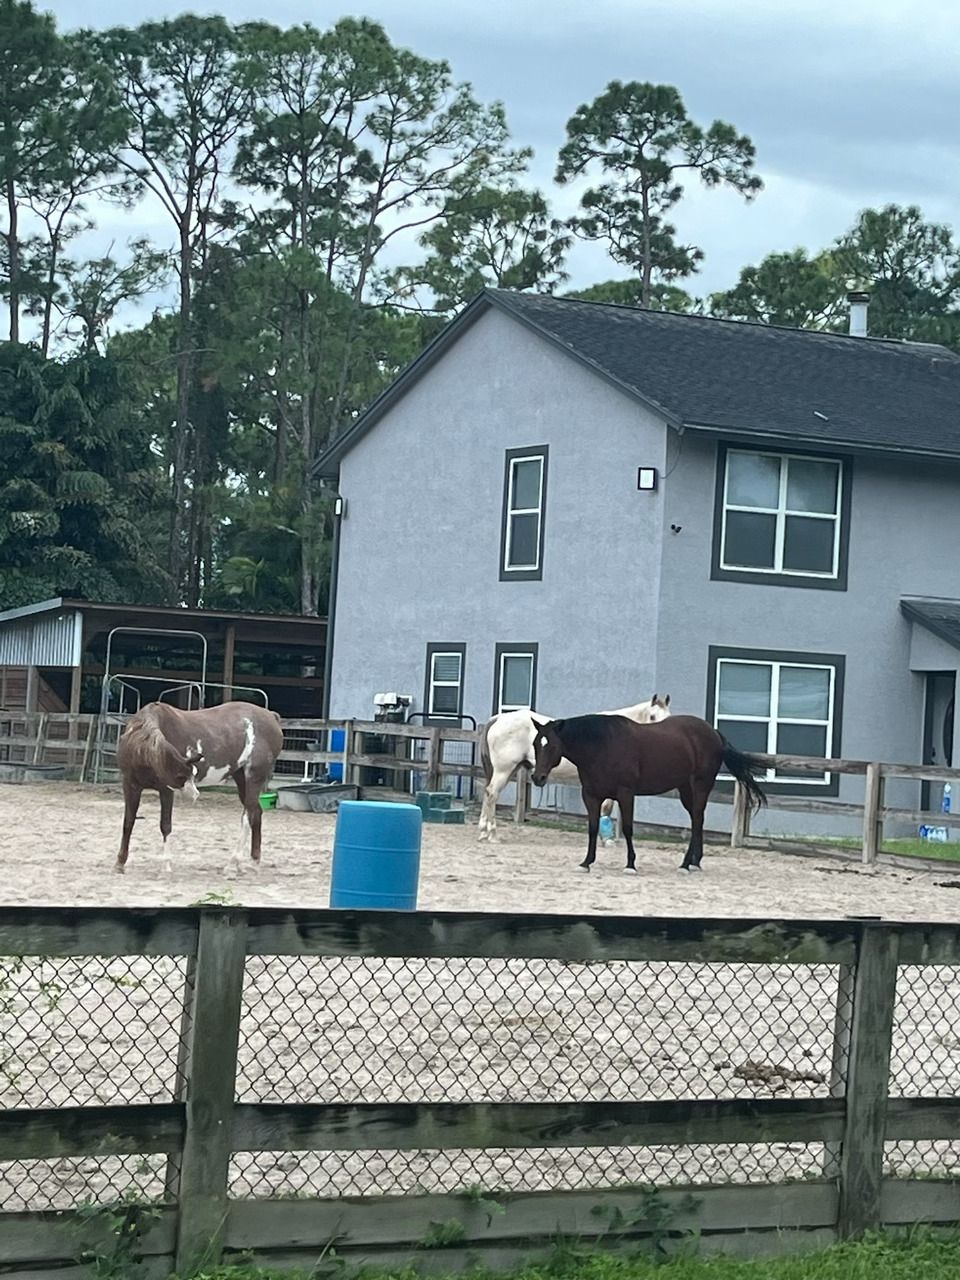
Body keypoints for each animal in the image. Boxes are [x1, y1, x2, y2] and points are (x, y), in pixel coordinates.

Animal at [115, 701, 284, 874]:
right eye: (181, 776)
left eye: (192, 773)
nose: (194, 795)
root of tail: (271, 717)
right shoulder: (131, 786)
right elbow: (128, 822)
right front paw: (120, 863)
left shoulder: (166, 789)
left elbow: (165, 825)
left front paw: (166, 864)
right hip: (241, 777)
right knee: (256, 813)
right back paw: (253, 861)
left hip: (254, 777)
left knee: (248, 816)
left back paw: (232, 863)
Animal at [477, 694, 671, 842]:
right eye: (652, 716)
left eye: (668, 717)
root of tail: (499, 718)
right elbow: (606, 807)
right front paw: (606, 838)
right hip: (504, 770)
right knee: (492, 794)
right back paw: (492, 834)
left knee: (488, 793)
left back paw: (483, 832)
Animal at [530, 713, 767, 873]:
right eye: (535, 744)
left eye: (552, 746)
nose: (537, 777)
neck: (602, 746)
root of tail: (713, 733)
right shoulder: (591, 796)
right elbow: (592, 828)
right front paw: (586, 862)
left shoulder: (626, 794)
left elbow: (627, 828)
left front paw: (630, 864)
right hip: (685, 789)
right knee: (697, 820)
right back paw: (694, 862)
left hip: (700, 786)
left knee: (697, 819)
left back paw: (685, 864)